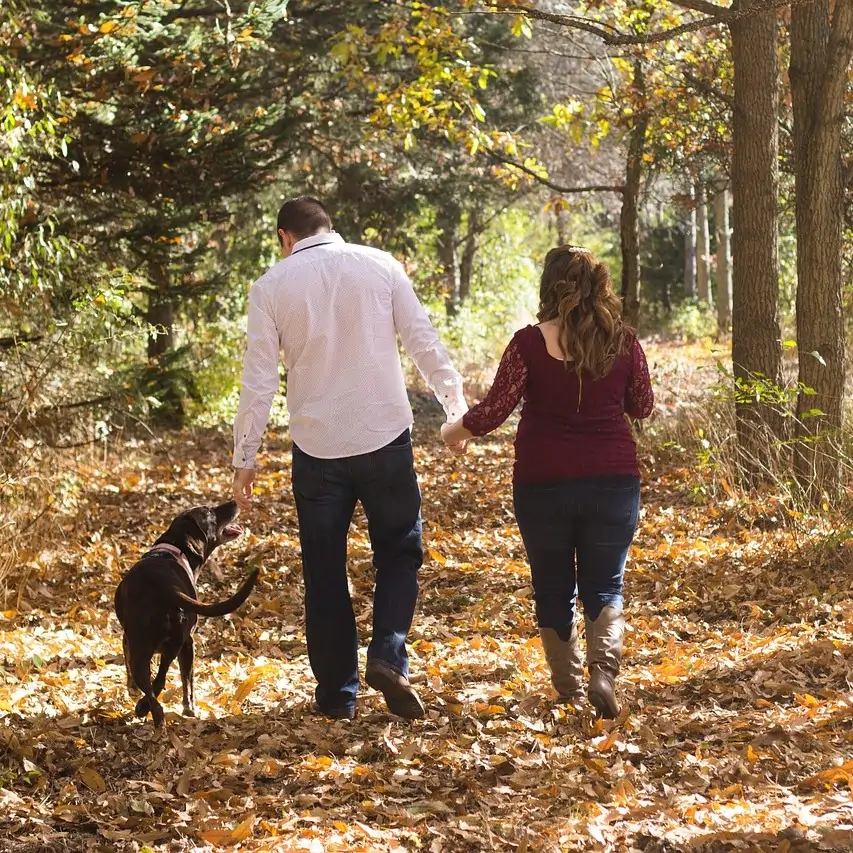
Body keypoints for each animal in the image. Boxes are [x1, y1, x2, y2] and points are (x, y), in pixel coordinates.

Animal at [115, 500, 258, 724]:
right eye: (210, 511)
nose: (235, 502)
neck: (173, 548)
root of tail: (166, 588)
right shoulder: (188, 644)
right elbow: (187, 679)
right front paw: (189, 708)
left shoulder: (127, 640)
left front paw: (132, 692)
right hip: (178, 645)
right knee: (160, 681)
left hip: (143, 649)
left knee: (154, 687)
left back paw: (146, 711)